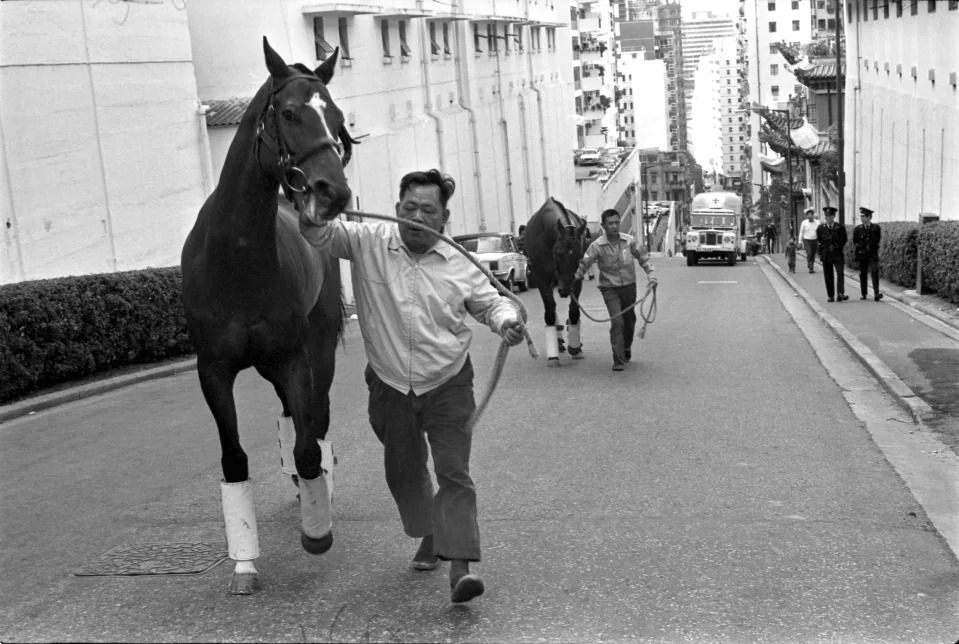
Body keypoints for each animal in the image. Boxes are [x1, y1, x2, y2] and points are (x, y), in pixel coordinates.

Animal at [180, 39, 356, 592]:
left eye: (337, 118)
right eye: (289, 112)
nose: (333, 192)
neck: (237, 260)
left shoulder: (296, 358)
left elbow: (307, 444)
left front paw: (316, 532)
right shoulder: (213, 370)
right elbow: (234, 458)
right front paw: (244, 562)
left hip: (316, 349)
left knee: (315, 418)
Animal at [520, 196, 588, 368]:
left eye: (579, 255)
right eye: (558, 252)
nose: (564, 290)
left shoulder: (576, 279)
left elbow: (574, 311)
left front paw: (575, 347)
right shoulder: (541, 278)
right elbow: (550, 310)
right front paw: (553, 357)